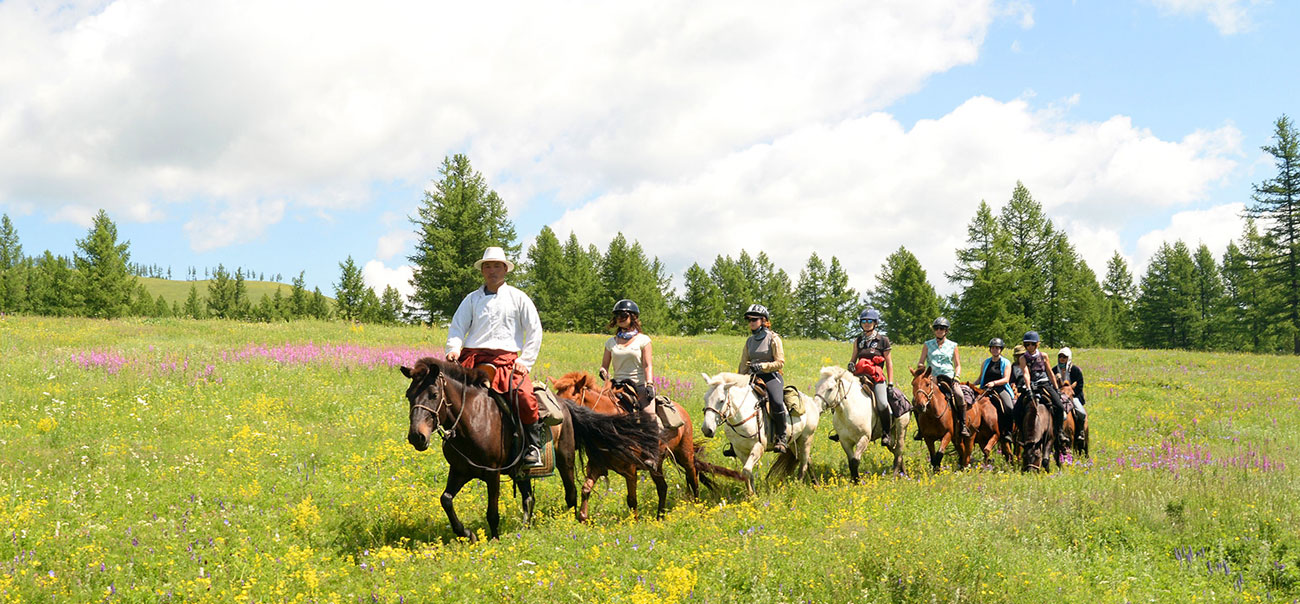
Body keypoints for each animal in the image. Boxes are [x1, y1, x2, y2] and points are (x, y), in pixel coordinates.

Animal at [397, 355, 660, 540]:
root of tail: (565, 405)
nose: (417, 437)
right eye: (409, 395)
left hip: (564, 460)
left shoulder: (492, 474)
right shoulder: (460, 470)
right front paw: (467, 534)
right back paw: (524, 527)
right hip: (521, 470)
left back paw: (567, 524)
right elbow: (446, 500)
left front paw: (494, 539)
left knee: (571, 493)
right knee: (528, 498)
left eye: (433, 394)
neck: (471, 419)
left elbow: (492, 511)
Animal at [548, 368, 743, 519]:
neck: (610, 426)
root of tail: (681, 410)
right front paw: (582, 518)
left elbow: (631, 499)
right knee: (663, 487)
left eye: (568, 399)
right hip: (656, 465)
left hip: (684, 454)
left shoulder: (630, 470)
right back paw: (660, 516)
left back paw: (696, 507)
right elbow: (585, 489)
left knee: (693, 477)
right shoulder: (596, 466)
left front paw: (633, 522)